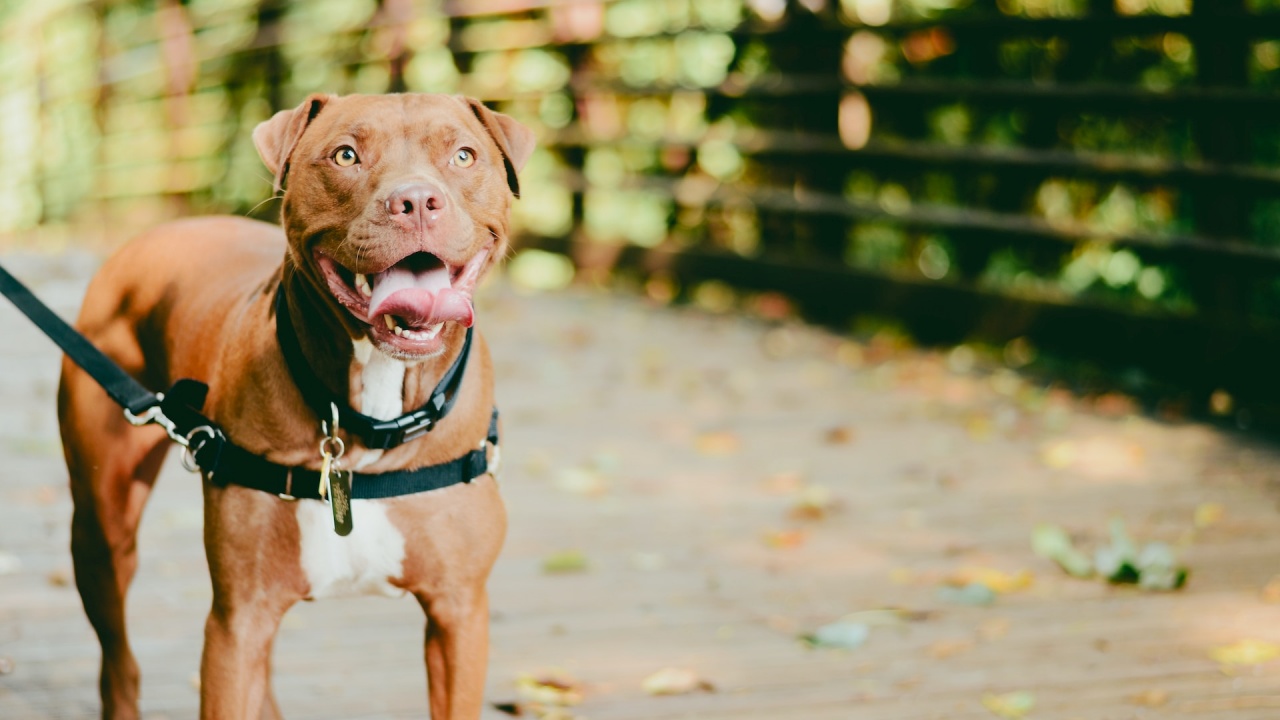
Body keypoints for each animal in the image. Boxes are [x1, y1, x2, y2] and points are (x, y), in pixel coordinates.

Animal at [55, 92, 532, 712]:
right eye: (346, 155)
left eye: (464, 155)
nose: (416, 201)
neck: (369, 421)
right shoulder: (238, 619)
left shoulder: (459, 613)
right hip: (101, 527)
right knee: (118, 658)